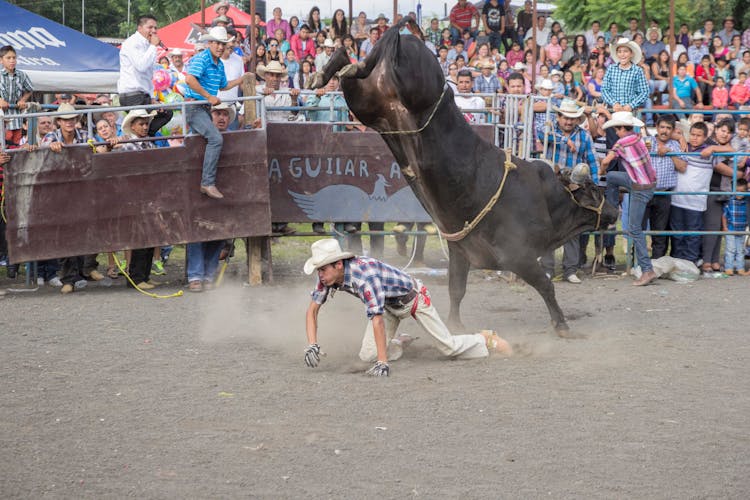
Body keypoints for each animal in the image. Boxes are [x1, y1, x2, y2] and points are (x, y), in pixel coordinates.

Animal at [308, 20, 620, 332]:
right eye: (593, 189)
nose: (614, 210)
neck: (547, 198)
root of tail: (407, 37)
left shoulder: (461, 251)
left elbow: (456, 289)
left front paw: (454, 324)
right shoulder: (519, 255)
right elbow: (545, 286)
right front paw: (561, 324)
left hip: (368, 103)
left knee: (351, 66)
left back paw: (327, 70)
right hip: (409, 85)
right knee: (365, 63)